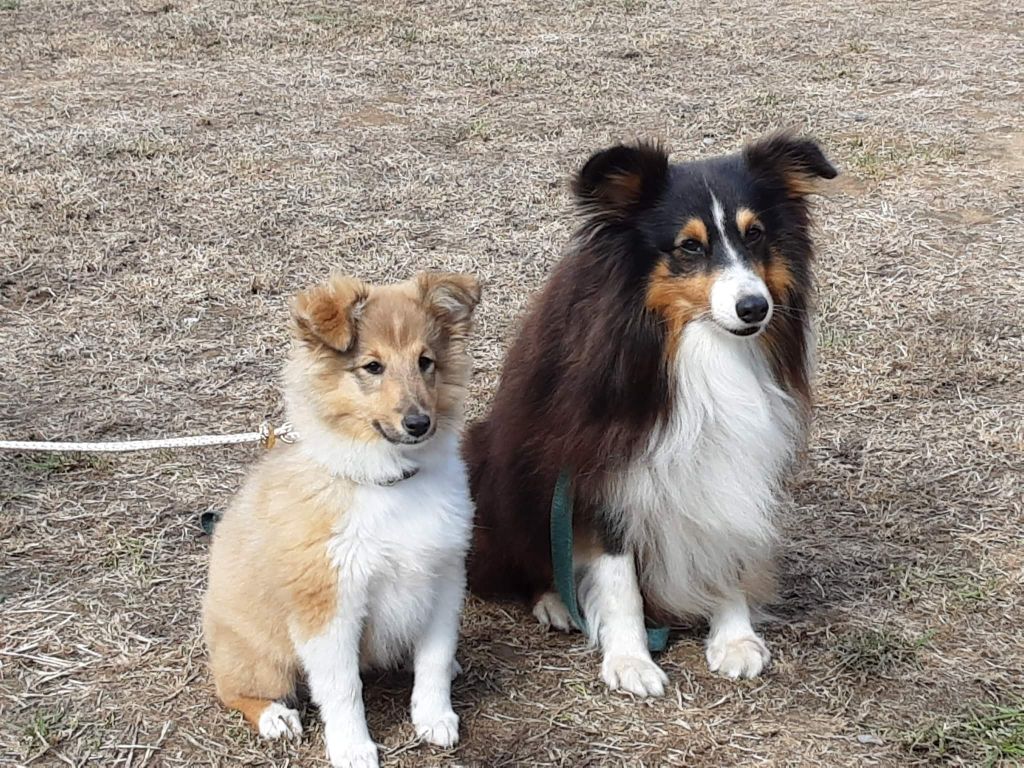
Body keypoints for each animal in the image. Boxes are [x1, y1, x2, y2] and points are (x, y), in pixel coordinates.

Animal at [204, 272, 483, 768]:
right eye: (372, 367)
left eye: (426, 362)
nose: (419, 423)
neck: (390, 482)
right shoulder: (330, 602)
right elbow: (342, 687)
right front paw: (353, 748)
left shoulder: (444, 575)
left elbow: (434, 655)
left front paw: (435, 716)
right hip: (261, 657)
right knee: (233, 690)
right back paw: (275, 718)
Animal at [468, 132, 835, 696]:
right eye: (690, 246)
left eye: (756, 235)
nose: (755, 307)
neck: (702, 348)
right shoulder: (601, 470)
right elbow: (620, 582)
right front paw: (630, 660)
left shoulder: (738, 457)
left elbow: (728, 540)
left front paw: (734, 637)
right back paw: (557, 601)